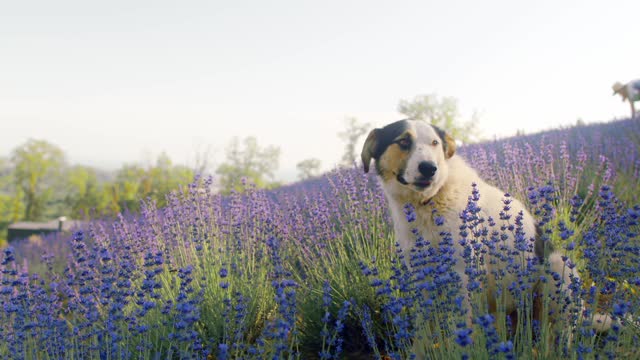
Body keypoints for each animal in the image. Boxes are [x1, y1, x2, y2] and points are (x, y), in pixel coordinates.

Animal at [360, 120, 608, 334]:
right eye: (403, 141)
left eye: (434, 143)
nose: (429, 168)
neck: (428, 202)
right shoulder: (421, 277)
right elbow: (423, 335)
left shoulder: (462, 274)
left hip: (557, 272)